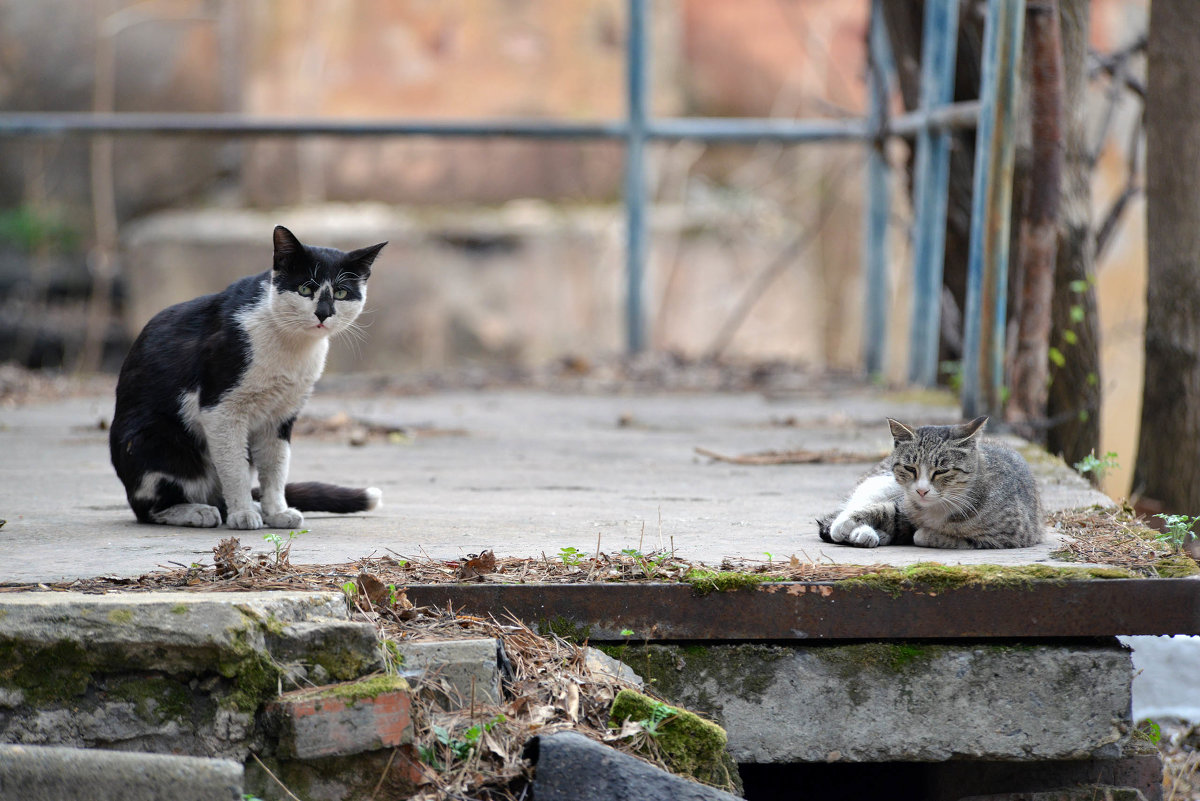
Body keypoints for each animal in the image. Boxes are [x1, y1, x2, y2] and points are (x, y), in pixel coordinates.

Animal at [111, 225, 386, 527]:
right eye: (305, 288)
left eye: (340, 292)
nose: (323, 313)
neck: (292, 346)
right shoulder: (220, 409)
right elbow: (235, 468)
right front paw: (242, 513)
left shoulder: (281, 414)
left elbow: (276, 466)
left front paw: (276, 512)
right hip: (151, 441)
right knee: (149, 508)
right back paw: (197, 511)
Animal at [816, 417, 1041, 546]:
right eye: (910, 468)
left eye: (941, 471)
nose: (922, 491)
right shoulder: (905, 505)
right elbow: (883, 510)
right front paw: (845, 524)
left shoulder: (1009, 537)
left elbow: (947, 538)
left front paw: (928, 534)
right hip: (880, 483)